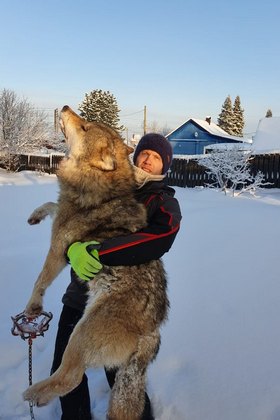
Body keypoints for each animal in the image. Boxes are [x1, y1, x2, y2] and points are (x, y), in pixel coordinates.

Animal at [23, 106, 168, 420]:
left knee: (70, 377)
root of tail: (151, 334)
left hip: (79, 336)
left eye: (86, 127)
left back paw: (33, 394)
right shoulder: (61, 216)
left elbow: (39, 279)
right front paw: (35, 214)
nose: (65, 107)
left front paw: (32, 308)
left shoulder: (59, 249)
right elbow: (52, 205)